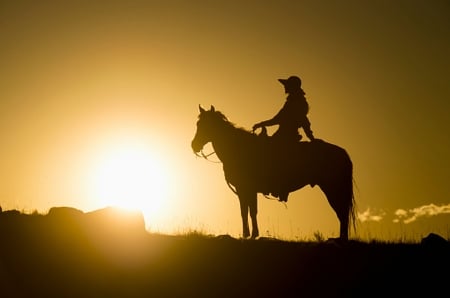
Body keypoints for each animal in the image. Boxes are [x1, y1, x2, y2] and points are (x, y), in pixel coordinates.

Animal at [190, 105, 356, 240]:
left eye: (206, 124)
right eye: (198, 124)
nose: (194, 145)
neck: (239, 149)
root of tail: (343, 153)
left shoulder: (247, 189)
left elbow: (250, 211)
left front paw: (251, 234)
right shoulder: (245, 190)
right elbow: (246, 211)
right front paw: (248, 234)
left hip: (332, 188)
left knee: (341, 212)